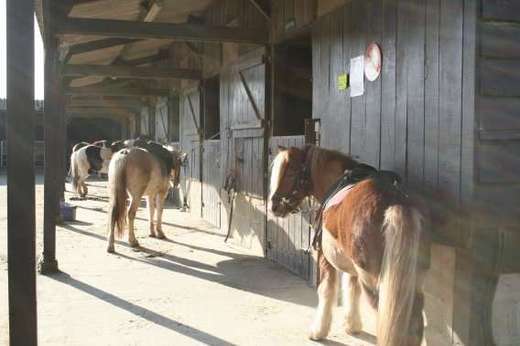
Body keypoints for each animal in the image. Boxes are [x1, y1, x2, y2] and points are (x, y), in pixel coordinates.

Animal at [268, 145, 430, 346]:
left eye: (290, 172)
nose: (274, 206)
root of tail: (395, 203)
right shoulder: (351, 266)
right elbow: (352, 289)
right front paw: (352, 325)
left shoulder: (325, 258)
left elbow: (326, 290)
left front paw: (318, 331)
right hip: (412, 283)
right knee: (415, 322)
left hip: (375, 284)